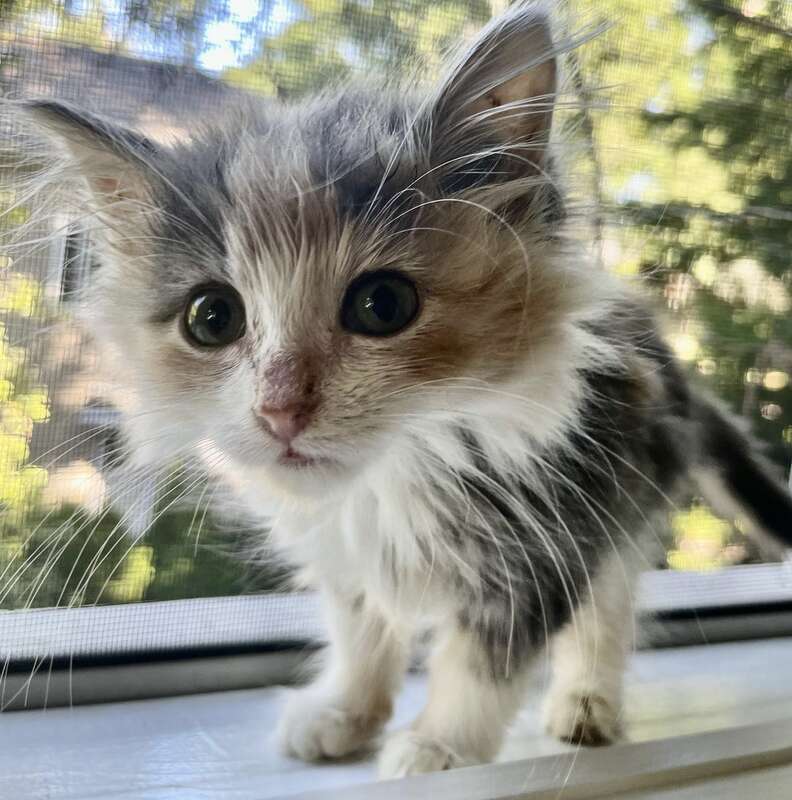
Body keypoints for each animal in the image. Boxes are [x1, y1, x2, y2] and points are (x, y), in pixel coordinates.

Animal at [13, 1, 792, 780]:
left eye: (382, 305)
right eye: (212, 318)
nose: (279, 408)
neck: (393, 478)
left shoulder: (547, 537)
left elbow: (481, 665)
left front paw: (441, 747)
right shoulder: (348, 554)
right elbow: (362, 634)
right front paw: (345, 713)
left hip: (626, 491)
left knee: (609, 607)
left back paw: (586, 705)